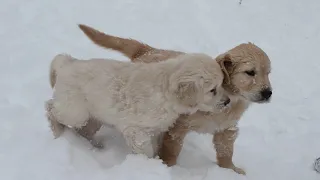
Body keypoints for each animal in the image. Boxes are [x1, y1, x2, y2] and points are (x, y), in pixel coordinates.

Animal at [45, 52, 230, 157]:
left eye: (222, 84)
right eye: (212, 90)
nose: (228, 101)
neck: (165, 88)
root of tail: (67, 63)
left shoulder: (157, 130)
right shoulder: (137, 130)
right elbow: (145, 149)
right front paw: (148, 162)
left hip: (92, 117)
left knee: (83, 130)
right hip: (75, 112)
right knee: (50, 107)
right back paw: (57, 131)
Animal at [77, 23, 272, 174]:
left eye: (268, 73)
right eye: (250, 72)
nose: (268, 93)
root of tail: (149, 50)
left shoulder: (226, 129)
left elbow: (226, 152)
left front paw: (230, 170)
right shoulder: (178, 127)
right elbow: (171, 151)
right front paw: (168, 168)